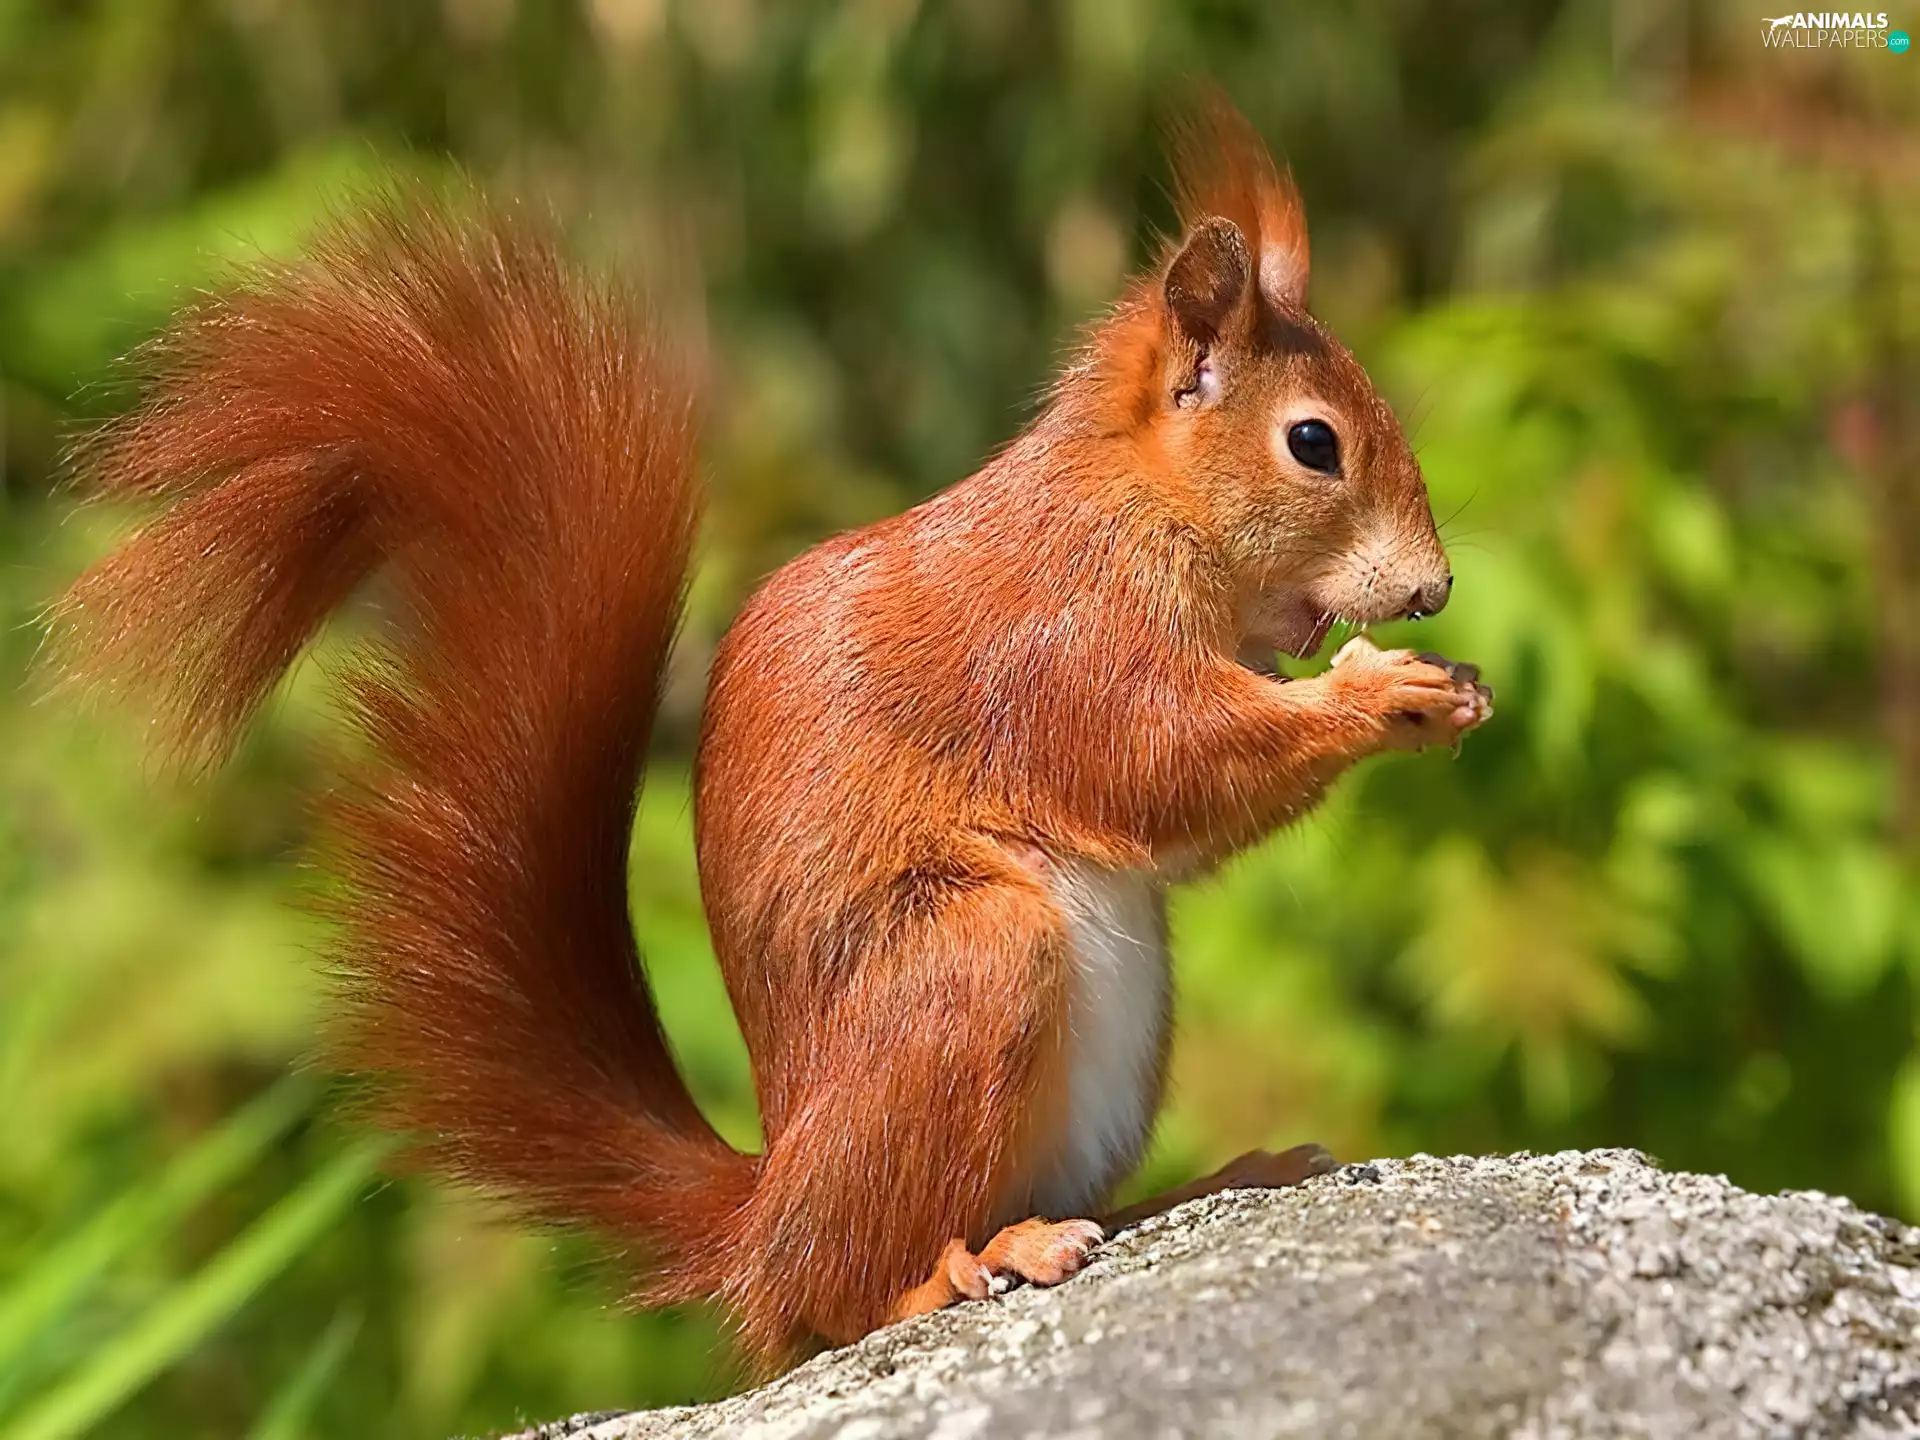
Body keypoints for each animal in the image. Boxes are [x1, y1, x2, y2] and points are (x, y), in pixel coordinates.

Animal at [51, 96, 1491, 1367]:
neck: (1135, 499)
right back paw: (964, 1266)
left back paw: (1186, 1191)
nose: (1433, 590)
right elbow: (1167, 768)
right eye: (1313, 444)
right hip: (971, 967)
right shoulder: (1059, 644)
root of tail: (764, 1208)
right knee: (830, 1301)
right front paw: (1386, 697)